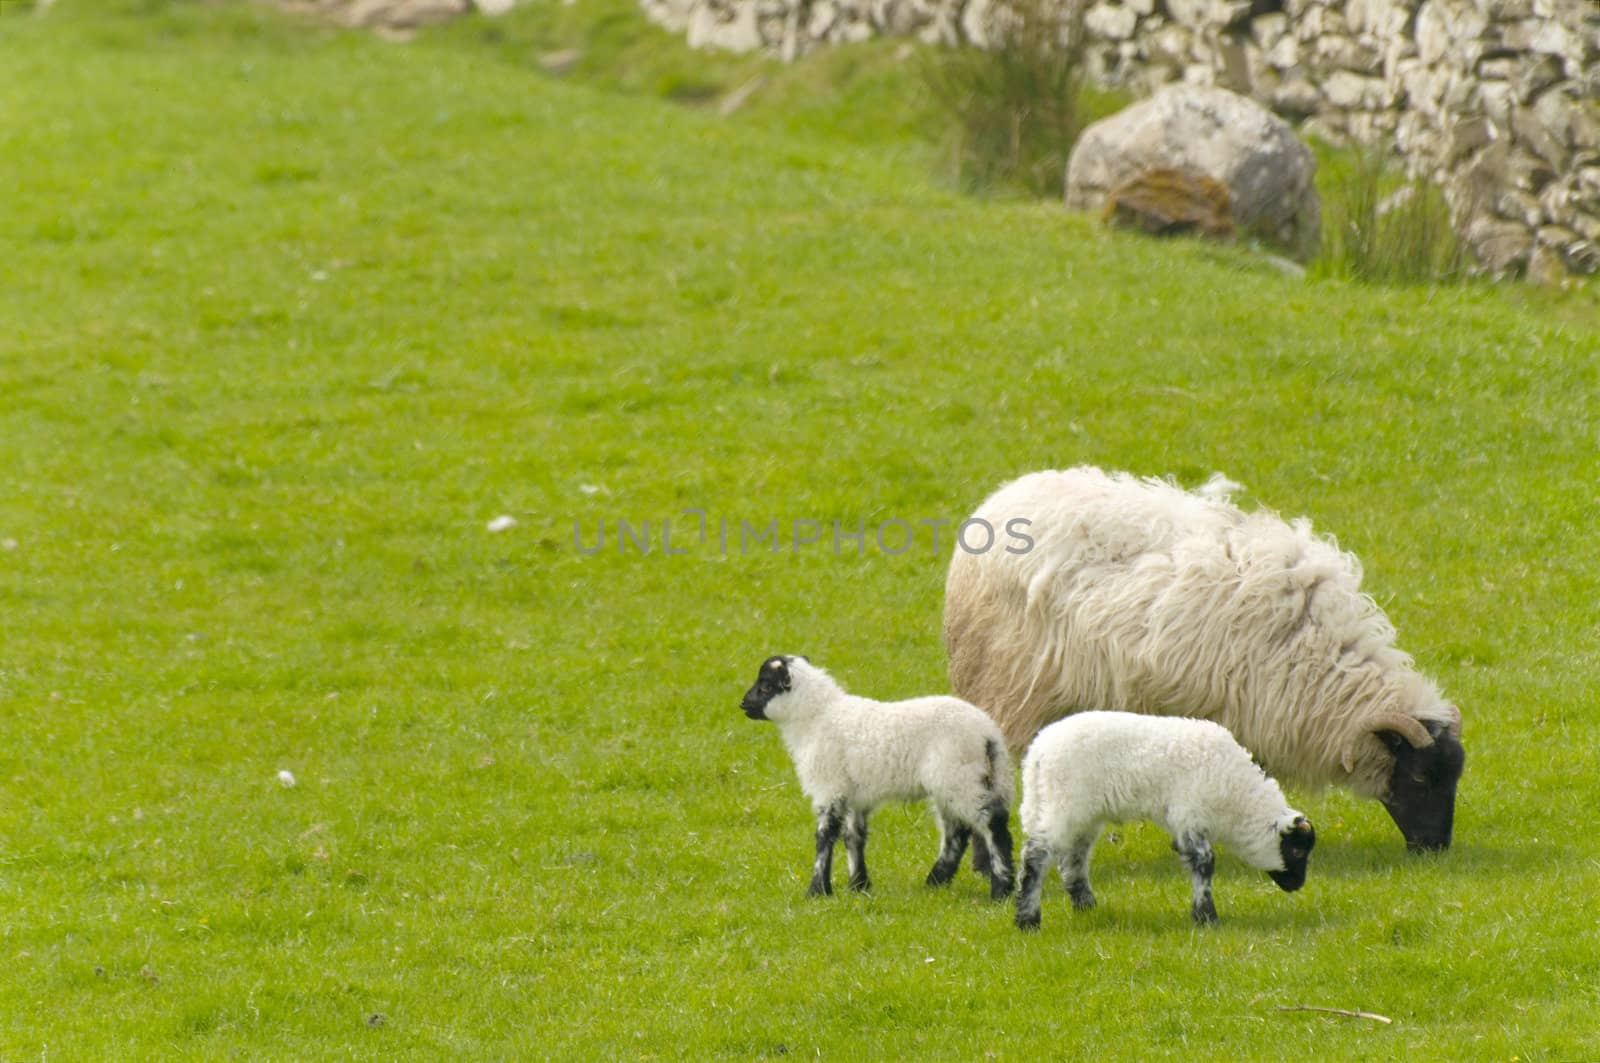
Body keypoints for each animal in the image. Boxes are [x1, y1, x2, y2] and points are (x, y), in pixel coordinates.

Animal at [736, 656, 1011, 896]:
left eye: (766, 685)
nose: (743, 704)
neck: (818, 717)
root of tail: (988, 732)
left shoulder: (829, 786)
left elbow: (824, 836)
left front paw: (818, 890)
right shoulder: (853, 794)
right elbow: (853, 837)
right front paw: (858, 886)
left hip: (959, 777)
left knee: (992, 824)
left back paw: (1000, 889)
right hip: (959, 782)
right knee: (957, 833)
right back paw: (935, 882)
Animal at [940, 467, 1465, 858]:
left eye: (1454, 777)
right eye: (1421, 776)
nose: (1434, 847)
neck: (1321, 661)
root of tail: (996, 502)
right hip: (1007, 685)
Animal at [1017, 710, 1318, 928]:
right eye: (1295, 850)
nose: (1297, 886)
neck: (1237, 798)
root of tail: (1038, 751)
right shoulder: (1190, 814)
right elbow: (1204, 863)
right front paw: (1206, 917)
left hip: (1080, 813)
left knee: (1073, 859)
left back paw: (1086, 907)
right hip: (1065, 802)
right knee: (1037, 854)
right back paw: (1028, 920)